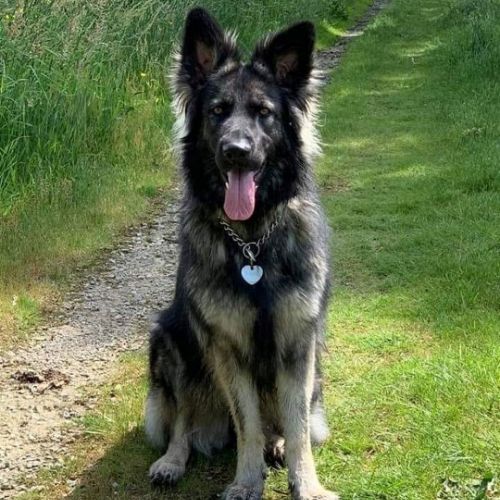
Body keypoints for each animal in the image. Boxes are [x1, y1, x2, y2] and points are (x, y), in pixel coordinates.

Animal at [145, 8, 337, 499]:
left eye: (263, 113)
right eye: (217, 112)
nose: (236, 152)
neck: (252, 243)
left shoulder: (298, 344)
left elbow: (298, 425)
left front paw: (307, 484)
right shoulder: (226, 347)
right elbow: (246, 425)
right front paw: (247, 482)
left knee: (284, 424)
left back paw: (277, 443)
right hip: (171, 340)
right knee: (183, 421)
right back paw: (172, 460)